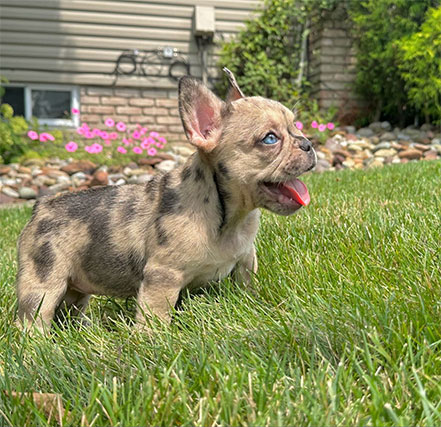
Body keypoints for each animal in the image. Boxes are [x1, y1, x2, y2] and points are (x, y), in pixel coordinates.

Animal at [15, 68, 316, 333]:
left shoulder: (245, 259)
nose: (309, 143)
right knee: (33, 319)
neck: (227, 216)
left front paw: (255, 304)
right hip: (43, 282)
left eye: (296, 127)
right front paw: (150, 339)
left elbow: (247, 284)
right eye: (270, 139)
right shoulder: (163, 276)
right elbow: (156, 315)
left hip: (75, 290)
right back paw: (36, 346)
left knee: (69, 311)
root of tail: (41, 206)